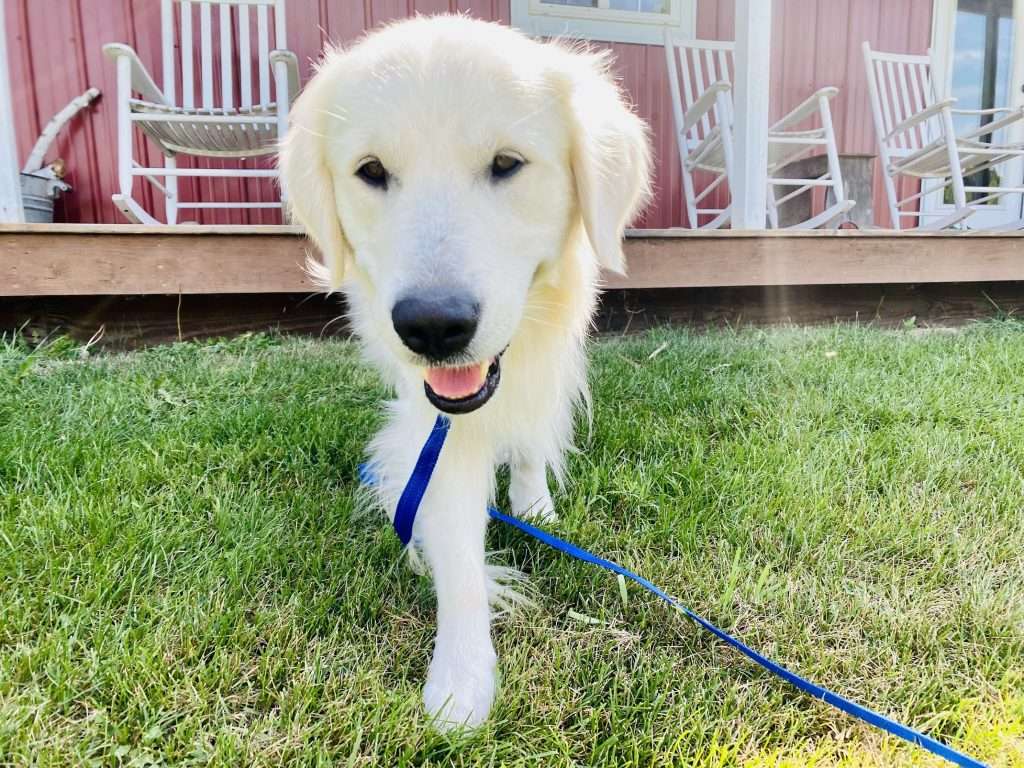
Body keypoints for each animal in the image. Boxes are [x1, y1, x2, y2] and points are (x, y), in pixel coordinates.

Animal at [280, 15, 647, 729]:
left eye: (507, 164)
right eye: (371, 172)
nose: (431, 327)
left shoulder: (550, 361)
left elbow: (531, 440)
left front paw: (533, 502)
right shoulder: (437, 429)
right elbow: (459, 558)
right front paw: (461, 679)